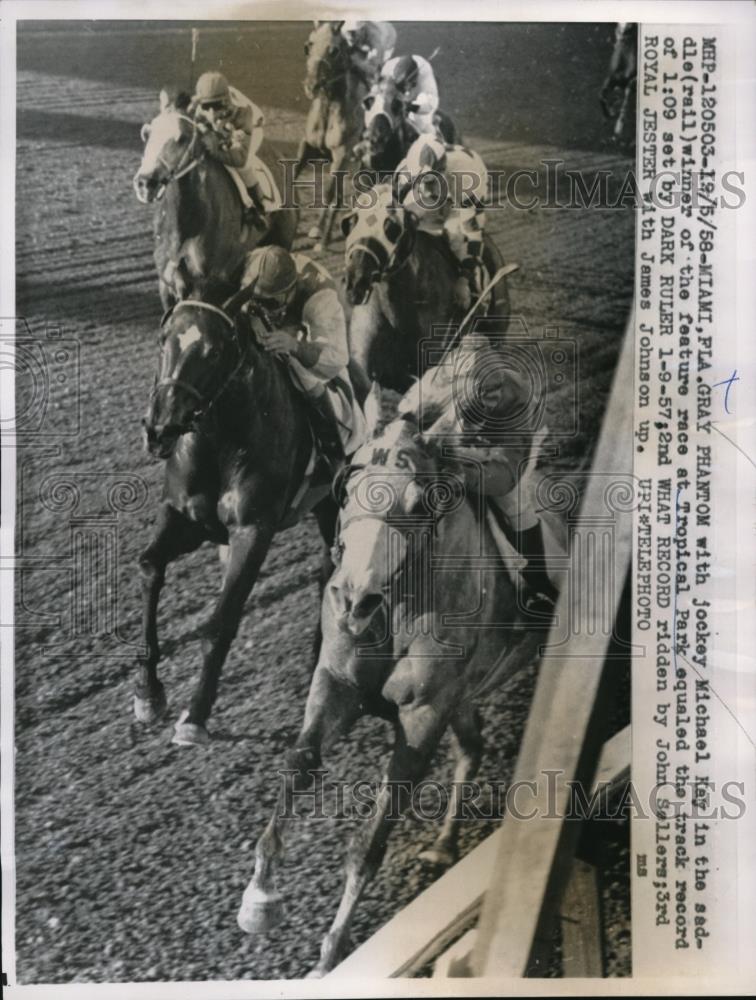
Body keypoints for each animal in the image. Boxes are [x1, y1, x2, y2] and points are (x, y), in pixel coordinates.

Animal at [134, 91, 300, 308]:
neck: (187, 225)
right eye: (147, 134)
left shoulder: (205, 288)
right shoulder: (166, 284)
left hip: (282, 241)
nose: (145, 182)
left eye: (182, 137)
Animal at [136, 300, 336, 748]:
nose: (159, 429)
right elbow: (150, 568)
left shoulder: (253, 530)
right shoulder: (183, 517)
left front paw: (195, 714)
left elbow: (221, 621)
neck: (221, 442)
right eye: (162, 340)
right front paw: (148, 692)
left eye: (212, 353)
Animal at [292, 22, 370, 250]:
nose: (311, 86)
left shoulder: (342, 155)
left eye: (334, 50)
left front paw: (324, 242)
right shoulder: (308, 146)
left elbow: (329, 194)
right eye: (308, 45)